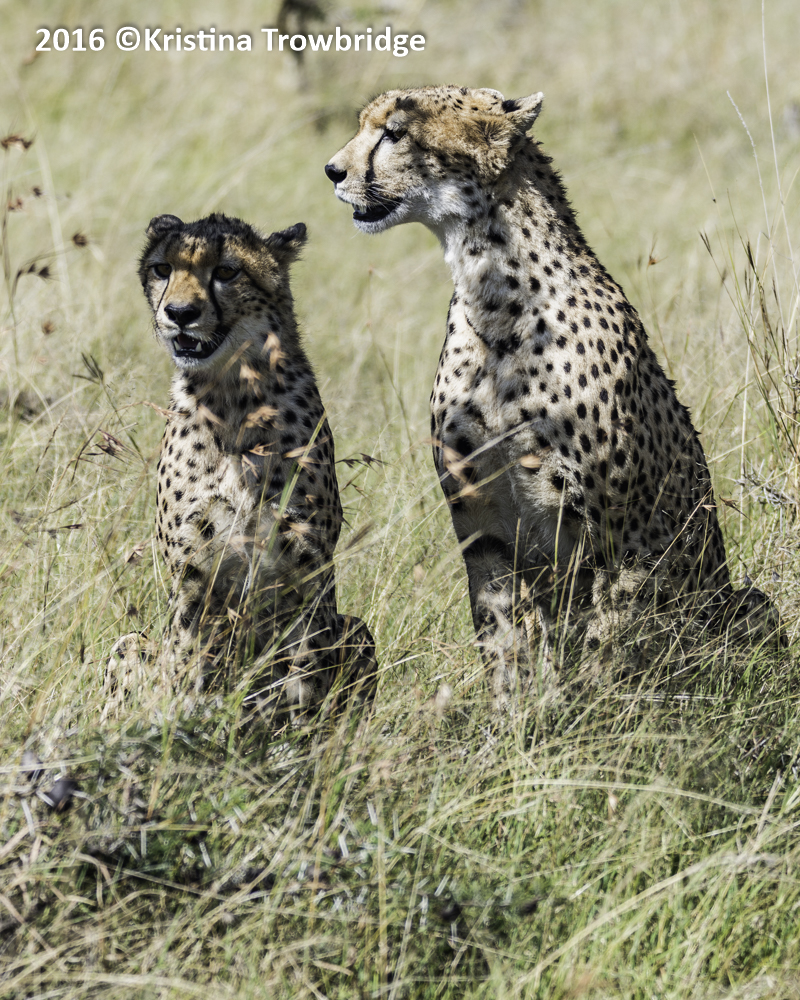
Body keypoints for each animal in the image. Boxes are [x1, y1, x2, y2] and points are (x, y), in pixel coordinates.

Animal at [107, 213, 376, 720]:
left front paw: (298, 732)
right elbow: (189, 660)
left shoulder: (307, 564)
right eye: (162, 269)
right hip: (131, 643)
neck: (230, 392)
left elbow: (305, 671)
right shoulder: (191, 571)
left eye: (227, 272)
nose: (179, 313)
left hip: (356, 628)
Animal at [325, 84, 782, 705]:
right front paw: (512, 719)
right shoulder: (483, 525)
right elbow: (503, 639)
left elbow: (605, 646)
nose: (333, 170)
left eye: (395, 132)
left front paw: (595, 716)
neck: (495, 302)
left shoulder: (615, 535)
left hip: (743, 602)